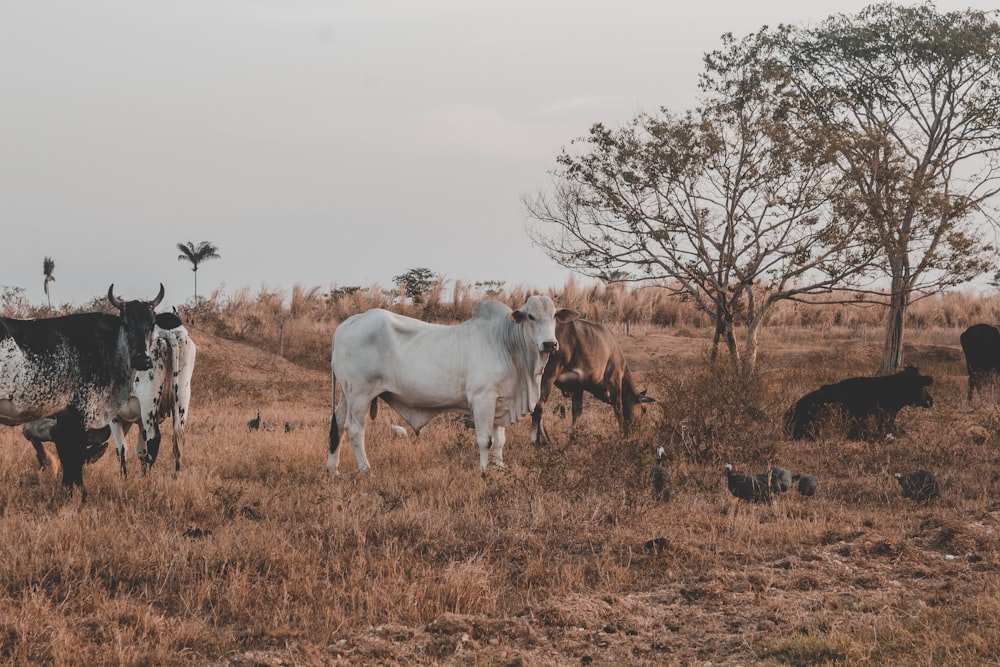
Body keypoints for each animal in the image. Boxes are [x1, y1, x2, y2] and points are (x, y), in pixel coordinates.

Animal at [0, 284, 176, 498]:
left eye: (151, 324)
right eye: (126, 324)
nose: (143, 359)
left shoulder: (65, 414)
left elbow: (69, 452)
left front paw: (68, 489)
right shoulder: (80, 410)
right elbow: (73, 452)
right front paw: (79, 493)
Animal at [110, 322, 196, 474]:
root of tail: (165, 332)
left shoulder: (114, 417)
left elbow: (121, 449)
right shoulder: (140, 422)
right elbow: (141, 450)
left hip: (148, 403)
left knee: (155, 438)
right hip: (182, 398)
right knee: (178, 439)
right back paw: (176, 475)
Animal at [328, 296, 580, 474]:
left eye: (554, 316)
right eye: (530, 316)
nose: (549, 344)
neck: (508, 344)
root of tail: (347, 324)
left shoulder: (501, 402)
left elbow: (500, 442)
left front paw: (500, 470)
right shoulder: (482, 398)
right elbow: (485, 440)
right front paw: (485, 472)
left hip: (347, 394)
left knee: (338, 423)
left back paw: (334, 470)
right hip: (360, 394)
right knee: (354, 429)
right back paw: (366, 470)